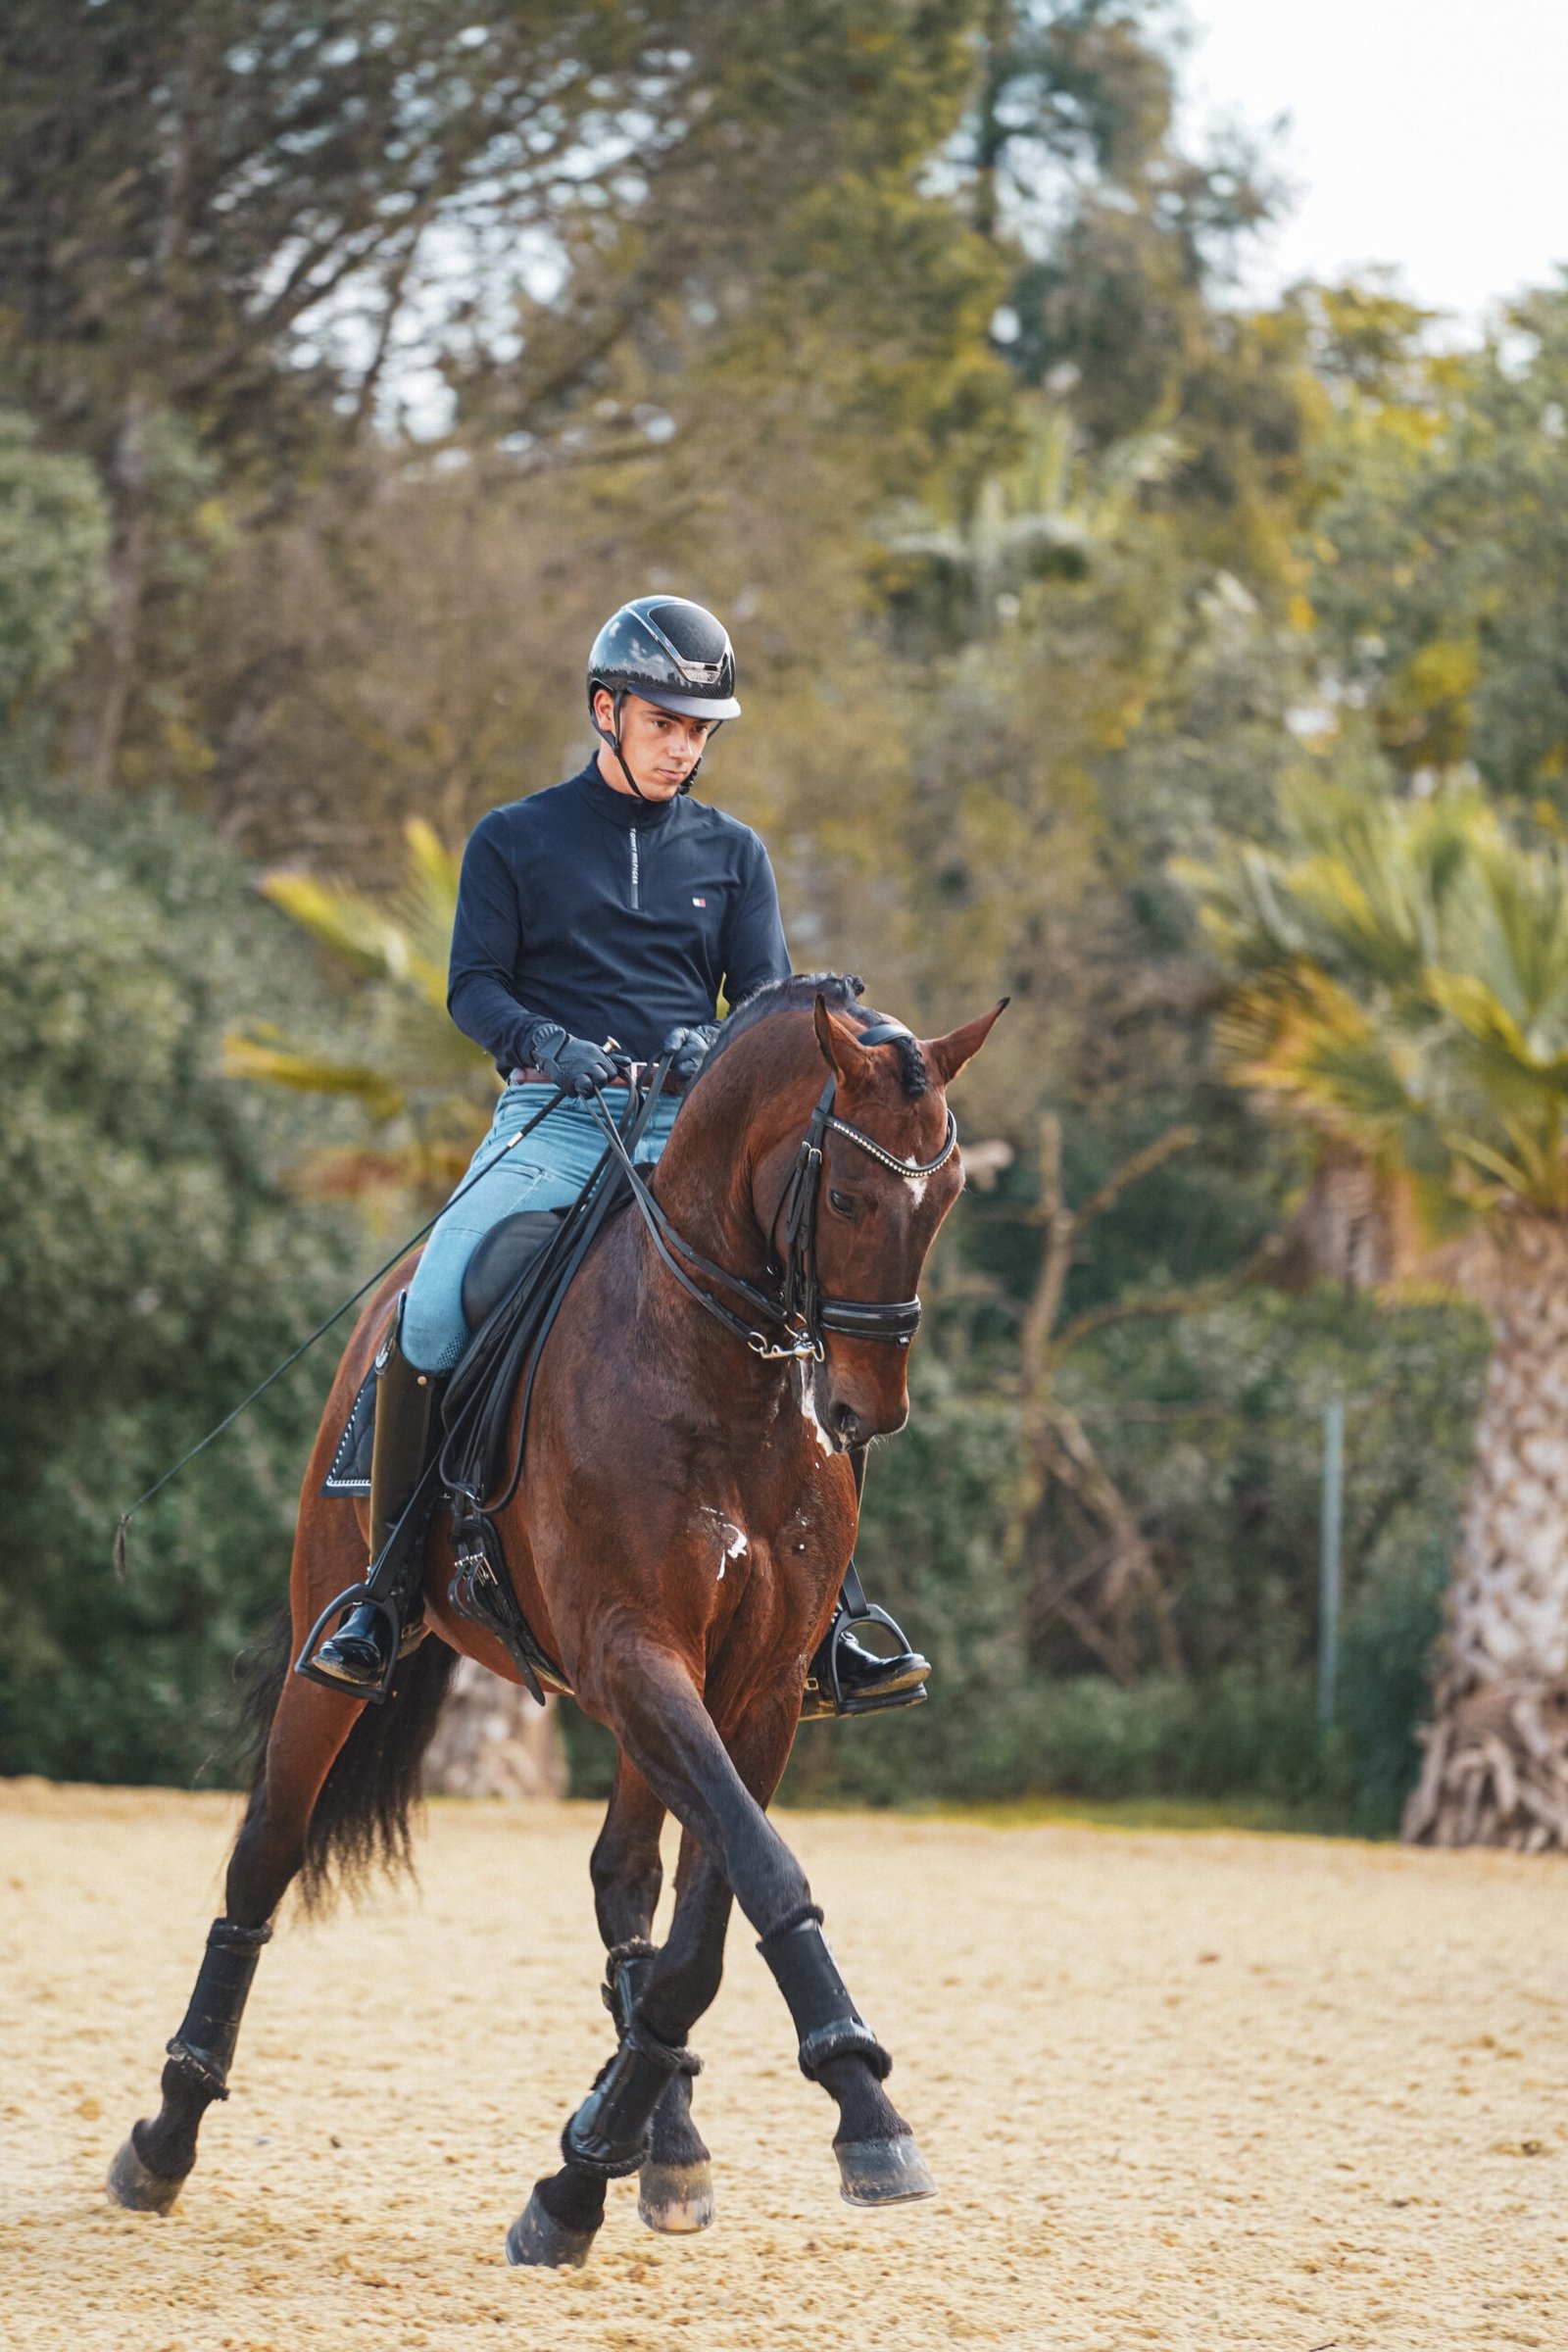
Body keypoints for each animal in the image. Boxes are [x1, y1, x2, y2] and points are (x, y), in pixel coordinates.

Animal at [107, 973, 1003, 2267]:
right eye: (844, 1192)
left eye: (946, 1196)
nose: (860, 1414)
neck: (719, 1371)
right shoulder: (633, 1650)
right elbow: (762, 1877)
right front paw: (861, 2106)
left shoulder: (757, 1687)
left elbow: (707, 1922)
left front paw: (599, 2162)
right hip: (342, 1654)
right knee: (264, 1859)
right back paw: (165, 2137)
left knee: (625, 1881)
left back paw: (661, 2145)